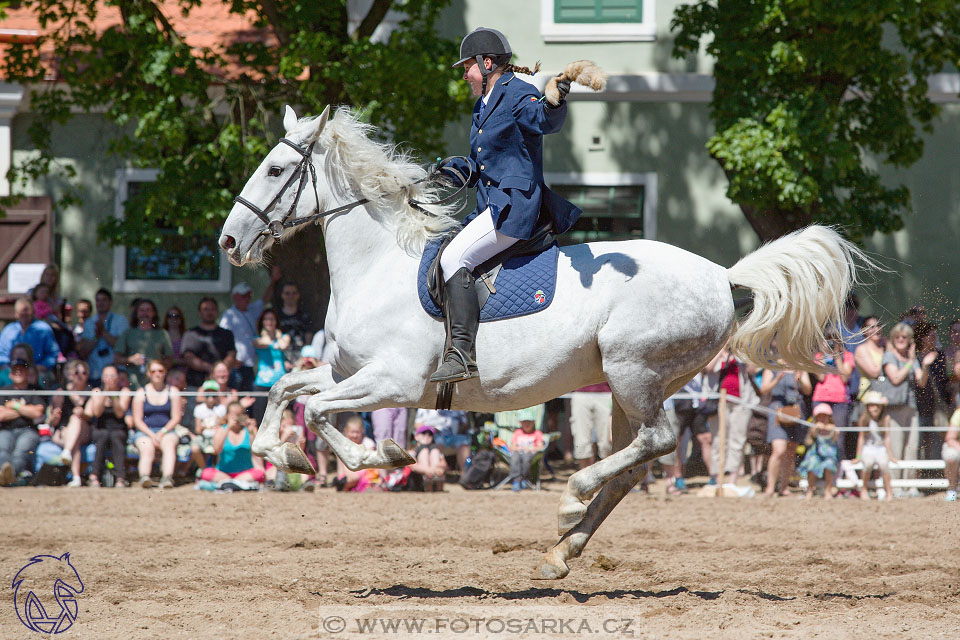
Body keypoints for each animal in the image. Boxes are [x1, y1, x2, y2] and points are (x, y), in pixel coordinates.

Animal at [221, 106, 868, 580]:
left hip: (633, 372)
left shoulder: (394, 382)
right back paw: (562, 550)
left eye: (276, 170)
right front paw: (283, 453)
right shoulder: (348, 371)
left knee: (656, 443)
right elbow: (284, 389)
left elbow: (316, 411)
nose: (228, 242)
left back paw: (571, 500)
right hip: (634, 386)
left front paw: (377, 455)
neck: (379, 265)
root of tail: (720, 275)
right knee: (635, 463)